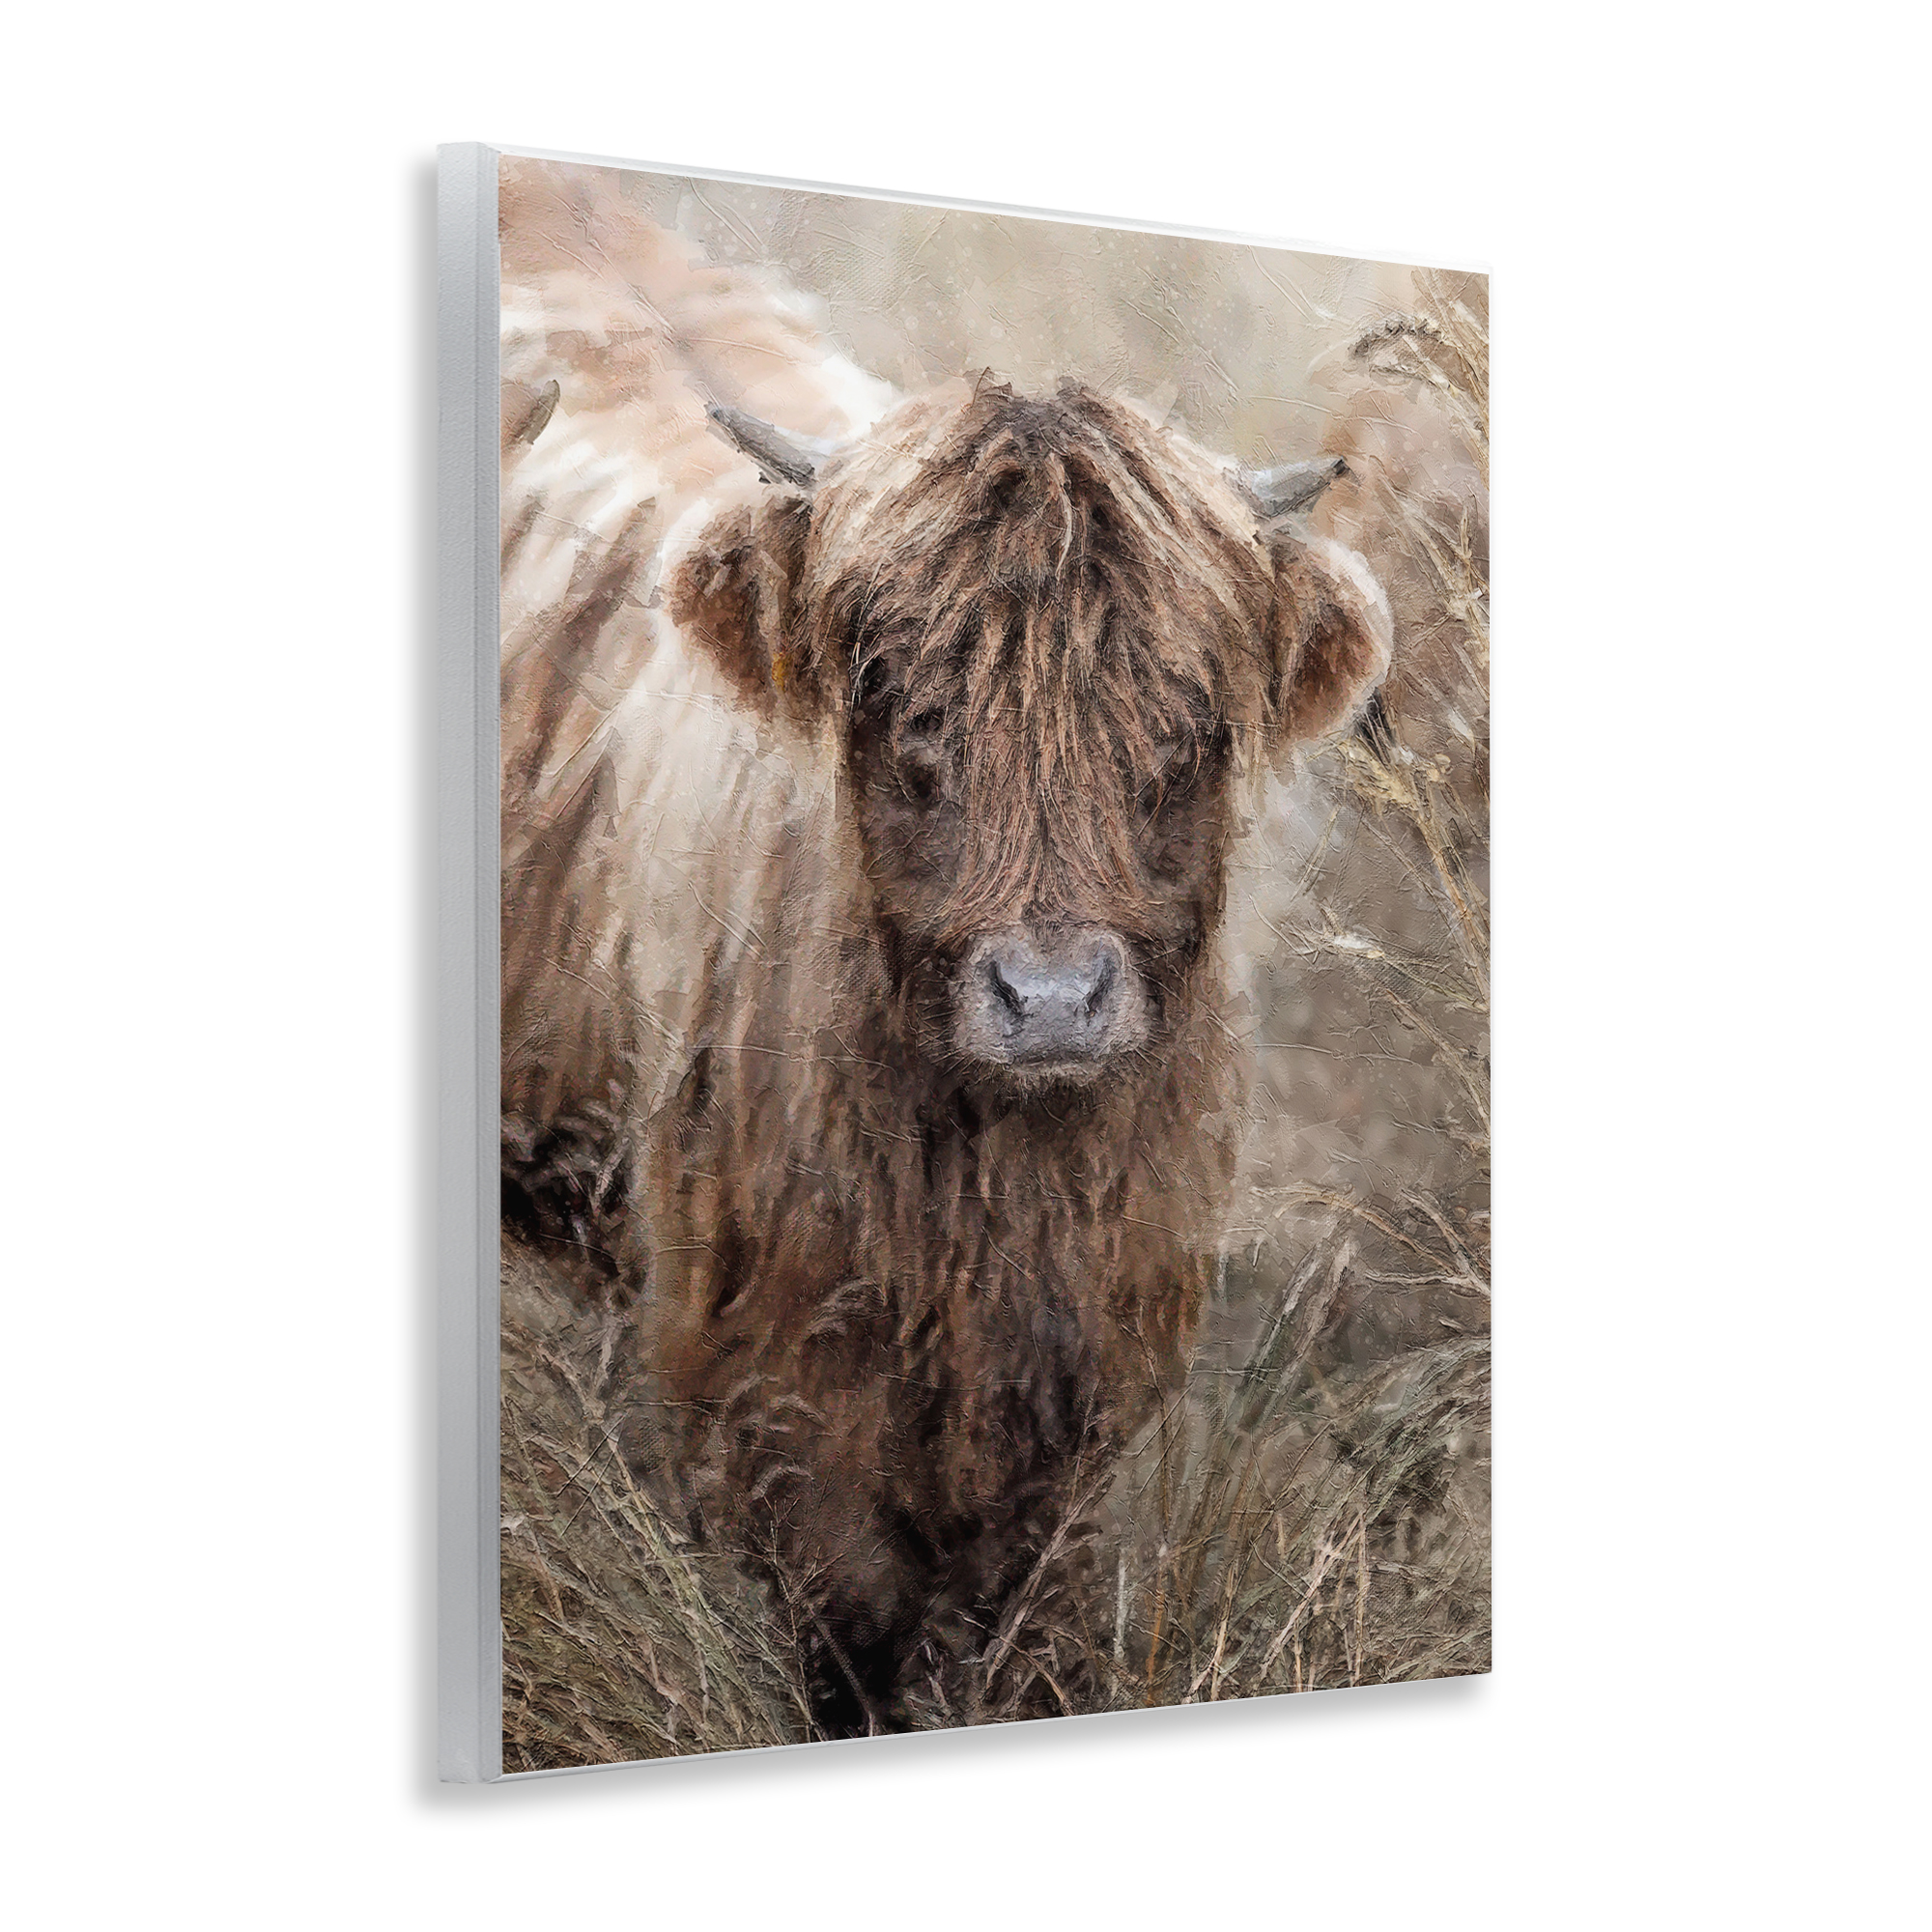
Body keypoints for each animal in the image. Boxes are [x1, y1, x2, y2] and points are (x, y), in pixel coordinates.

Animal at [543, 376, 1393, 1733]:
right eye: (903, 708)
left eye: (1186, 729)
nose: (1049, 999)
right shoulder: (763, 1380)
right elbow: (847, 1619)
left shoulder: (1087, 1388)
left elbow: (1031, 1616)